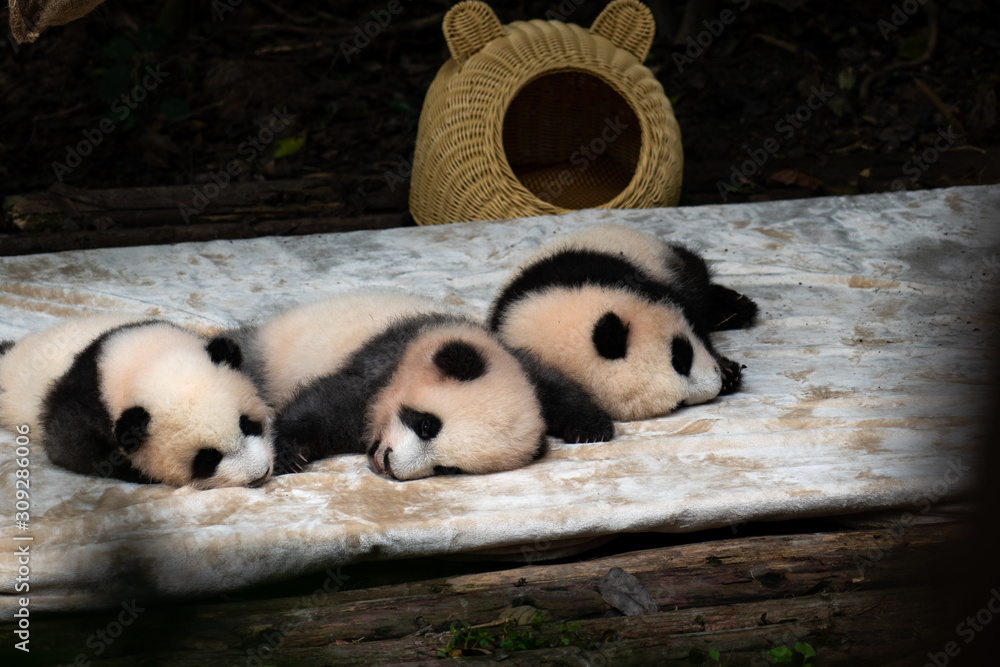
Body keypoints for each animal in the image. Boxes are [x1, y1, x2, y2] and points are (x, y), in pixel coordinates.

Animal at [0, 315, 274, 489]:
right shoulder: (84, 404)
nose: (259, 474)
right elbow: (70, 448)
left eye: (246, 424)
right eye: (207, 457)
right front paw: (140, 473)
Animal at [230, 291, 614, 480]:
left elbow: (553, 386)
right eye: (427, 424)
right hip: (272, 353)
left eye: (448, 469)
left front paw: (593, 427)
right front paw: (288, 454)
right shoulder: (385, 360)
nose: (389, 465)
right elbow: (321, 407)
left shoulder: (516, 362)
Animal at [488, 224, 759, 422]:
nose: (716, 382)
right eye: (678, 403)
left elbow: (690, 313)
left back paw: (737, 307)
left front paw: (727, 370)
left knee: (696, 278)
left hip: (657, 254)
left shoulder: (604, 274)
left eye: (680, 357)